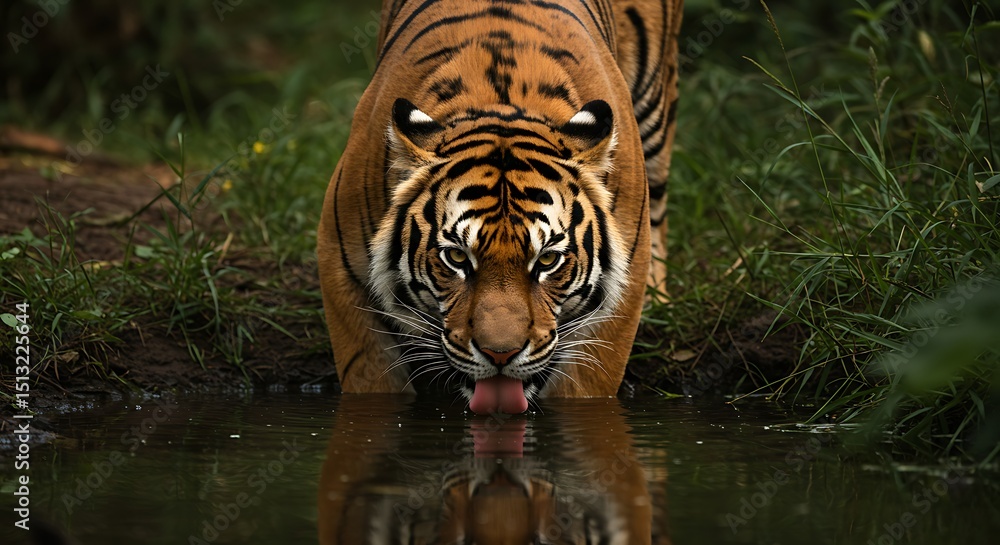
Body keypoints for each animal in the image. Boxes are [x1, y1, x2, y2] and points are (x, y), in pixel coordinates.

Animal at [317, 0, 683, 411]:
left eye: (547, 260)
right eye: (456, 257)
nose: (500, 355)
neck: (500, 104)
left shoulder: (617, 303)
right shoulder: (343, 271)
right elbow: (370, 379)